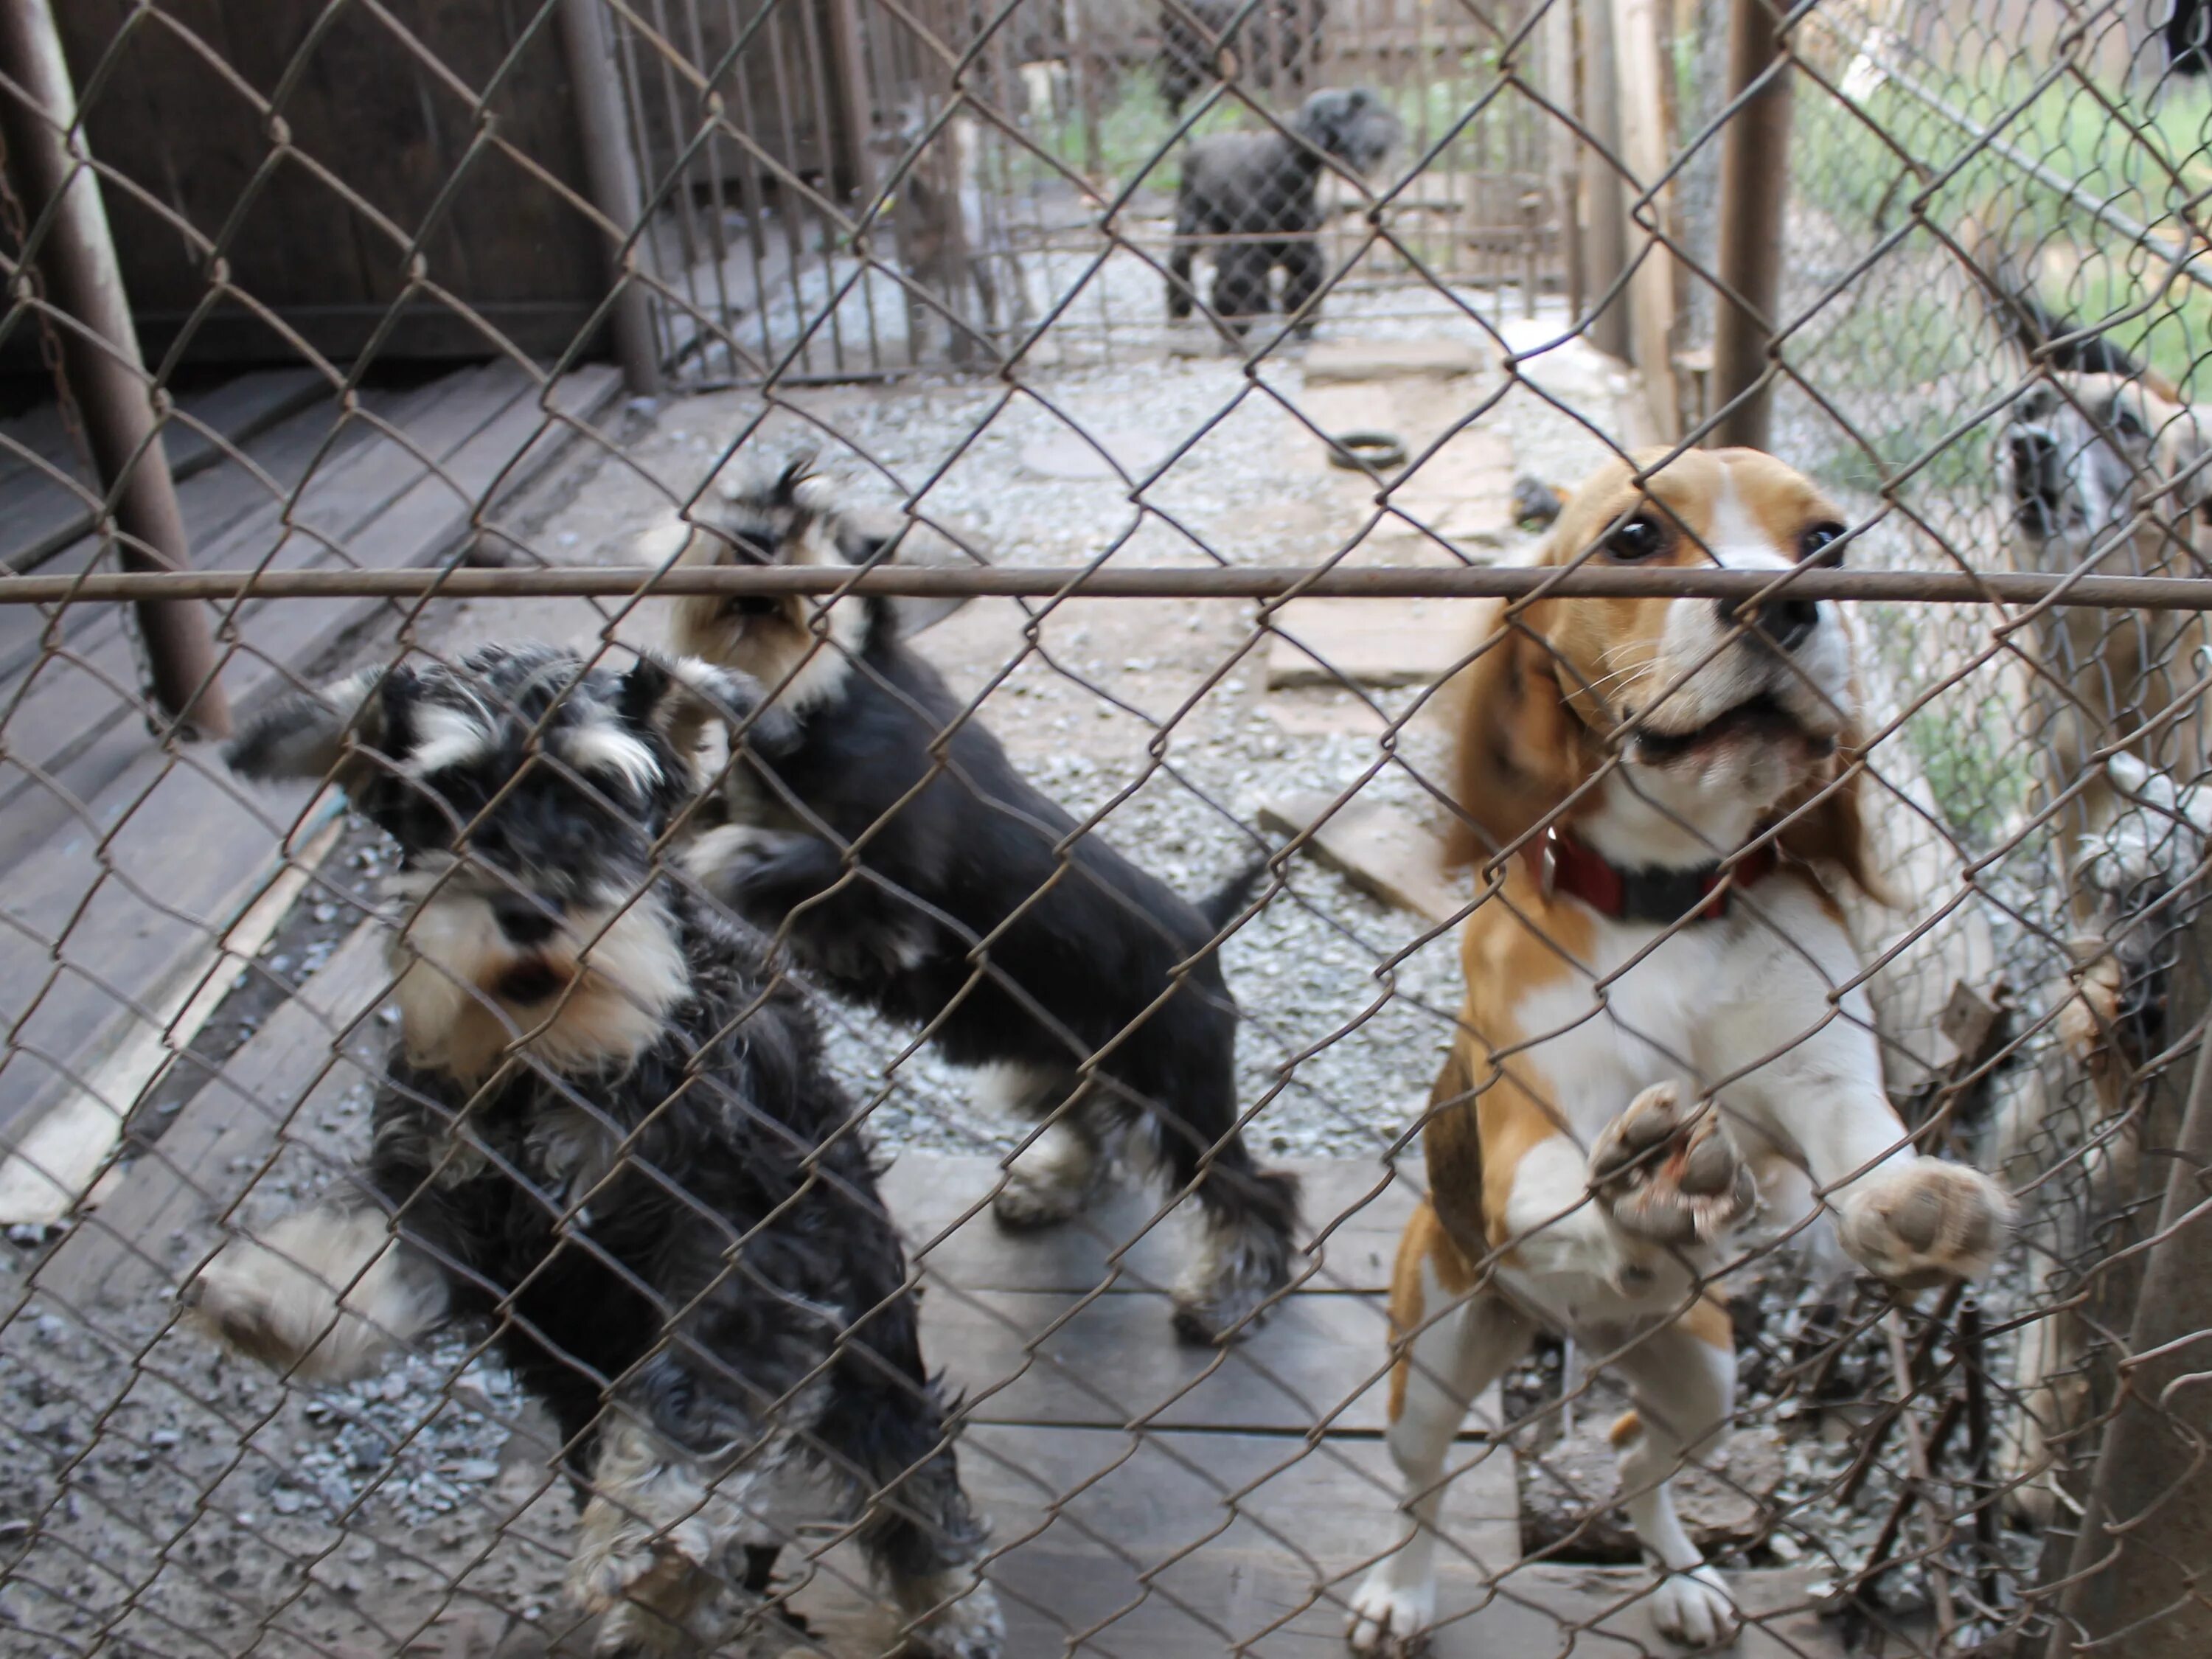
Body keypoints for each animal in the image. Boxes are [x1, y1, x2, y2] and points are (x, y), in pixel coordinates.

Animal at [190, 646, 1004, 1659]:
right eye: (450, 792)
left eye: (604, 789)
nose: (530, 904)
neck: (550, 1057)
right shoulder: (458, 1200)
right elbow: (375, 1236)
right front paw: (267, 1292)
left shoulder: (749, 1235)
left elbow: (694, 1374)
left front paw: (640, 1519)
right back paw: (667, 1613)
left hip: (874, 1376)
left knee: (916, 1495)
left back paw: (946, 1612)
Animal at [646, 462, 1292, 1345]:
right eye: (739, 498)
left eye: (825, 527)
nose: (753, 540)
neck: (827, 695)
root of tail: (1205, 925)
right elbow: (707, 821)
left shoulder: (883, 891)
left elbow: (769, 860)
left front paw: (710, 865)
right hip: (1051, 1059)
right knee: (1093, 1127)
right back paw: (1051, 1188)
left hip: (1180, 1091)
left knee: (1254, 1193)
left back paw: (1227, 1299)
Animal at [1159, 89, 1398, 343]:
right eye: (1343, 113)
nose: (1381, 143)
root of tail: (1194, 147)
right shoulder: (1245, 249)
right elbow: (1237, 281)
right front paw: (1235, 325)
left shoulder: (1300, 246)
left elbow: (1305, 279)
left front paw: (1302, 324)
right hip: (1191, 225)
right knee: (1179, 261)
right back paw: (1179, 310)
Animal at [1345, 449, 2026, 1655]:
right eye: (1633, 538)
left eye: (1827, 543)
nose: (1784, 601)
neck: (1667, 899)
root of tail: (1578, 1326)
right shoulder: (1525, 1123)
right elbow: (1561, 1180)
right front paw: (1642, 1179)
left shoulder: (1817, 1071)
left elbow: (1862, 1135)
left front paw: (1913, 1201)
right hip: (1431, 1357)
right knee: (1422, 1486)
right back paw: (1402, 1592)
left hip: (1703, 1376)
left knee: (1637, 1460)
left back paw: (1683, 1578)